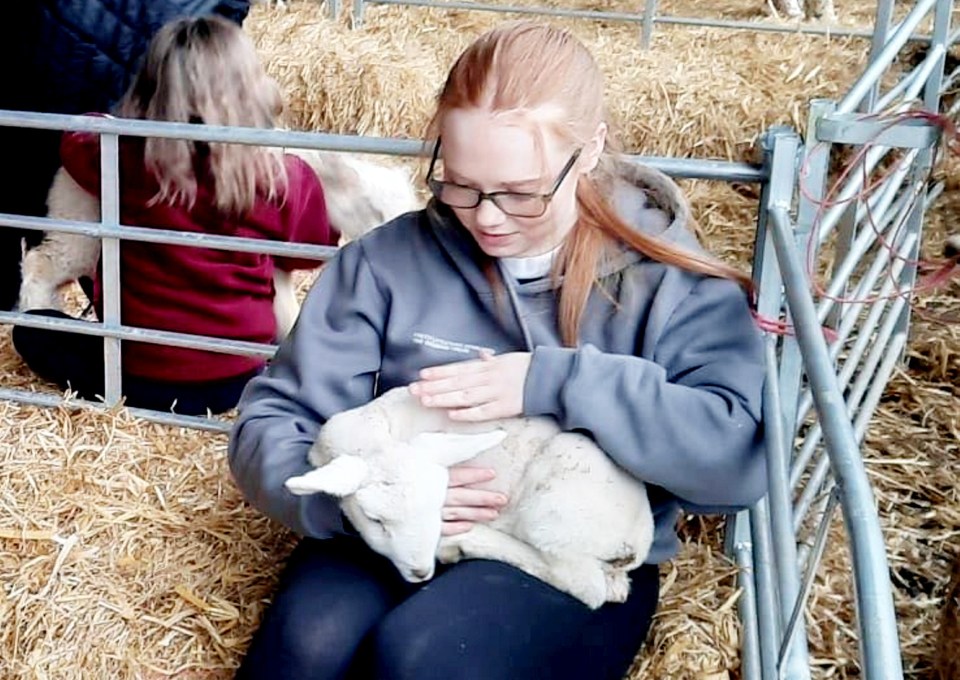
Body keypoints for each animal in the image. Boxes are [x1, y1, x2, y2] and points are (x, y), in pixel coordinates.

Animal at [282, 386, 656, 608]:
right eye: (375, 520)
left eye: (440, 507)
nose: (421, 572)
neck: (376, 434)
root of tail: (636, 542)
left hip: (555, 513)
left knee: (583, 585)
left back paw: (469, 540)